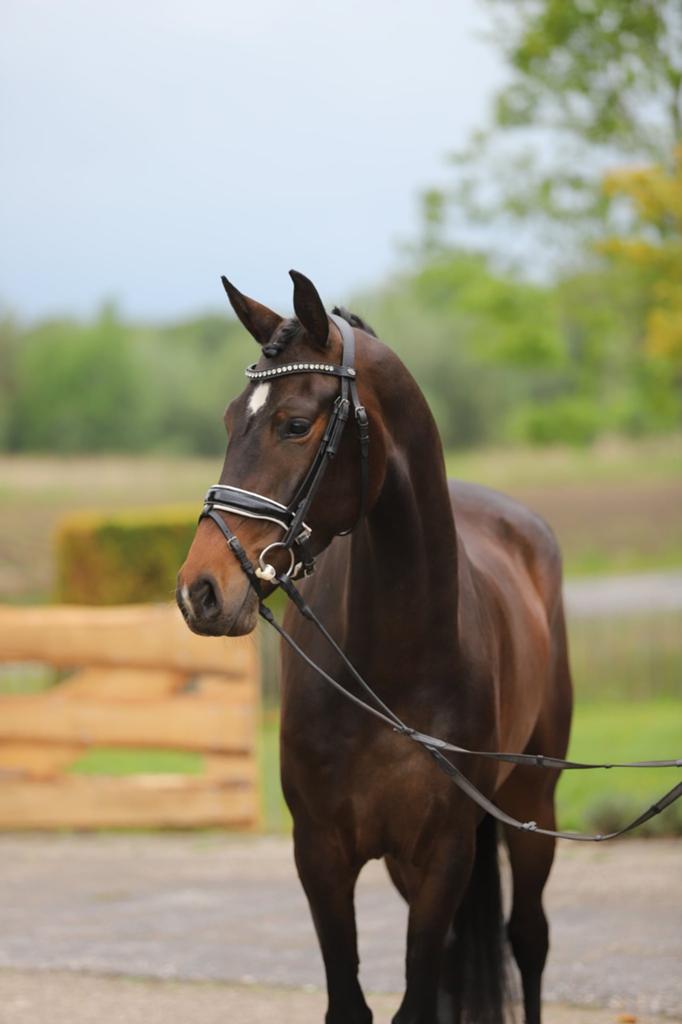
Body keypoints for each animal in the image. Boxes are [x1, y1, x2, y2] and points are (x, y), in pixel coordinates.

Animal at [177, 270, 573, 1024]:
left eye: (294, 424)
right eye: (228, 419)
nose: (201, 591)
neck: (396, 662)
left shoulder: (445, 853)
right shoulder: (321, 852)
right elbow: (353, 1000)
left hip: (532, 802)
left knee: (531, 939)